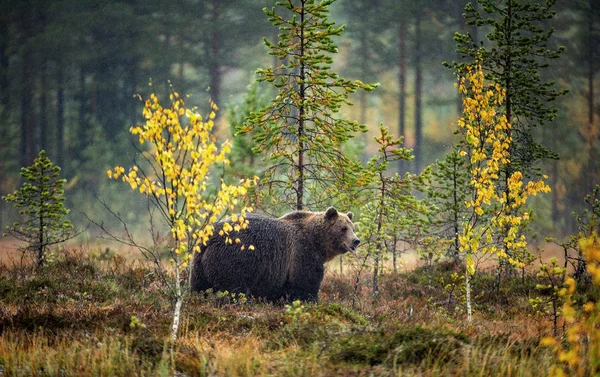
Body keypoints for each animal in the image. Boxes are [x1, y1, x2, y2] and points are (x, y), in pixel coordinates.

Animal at [192, 207, 358, 302]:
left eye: (353, 227)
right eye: (343, 228)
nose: (356, 241)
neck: (317, 242)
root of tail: (209, 236)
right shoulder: (302, 254)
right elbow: (305, 284)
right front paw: (311, 301)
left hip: (199, 263)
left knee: (198, 286)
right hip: (233, 260)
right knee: (233, 288)